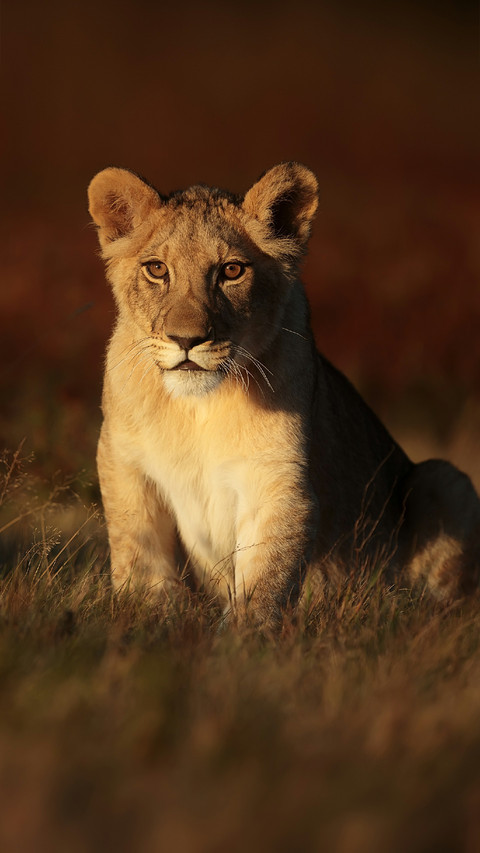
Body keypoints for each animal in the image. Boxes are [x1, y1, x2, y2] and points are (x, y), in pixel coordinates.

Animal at [88, 162, 480, 629]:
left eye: (231, 271)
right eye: (156, 269)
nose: (187, 340)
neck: (197, 407)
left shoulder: (276, 477)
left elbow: (265, 574)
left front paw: (244, 638)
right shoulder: (123, 462)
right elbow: (140, 555)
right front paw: (151, 620)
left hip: (446, 478)